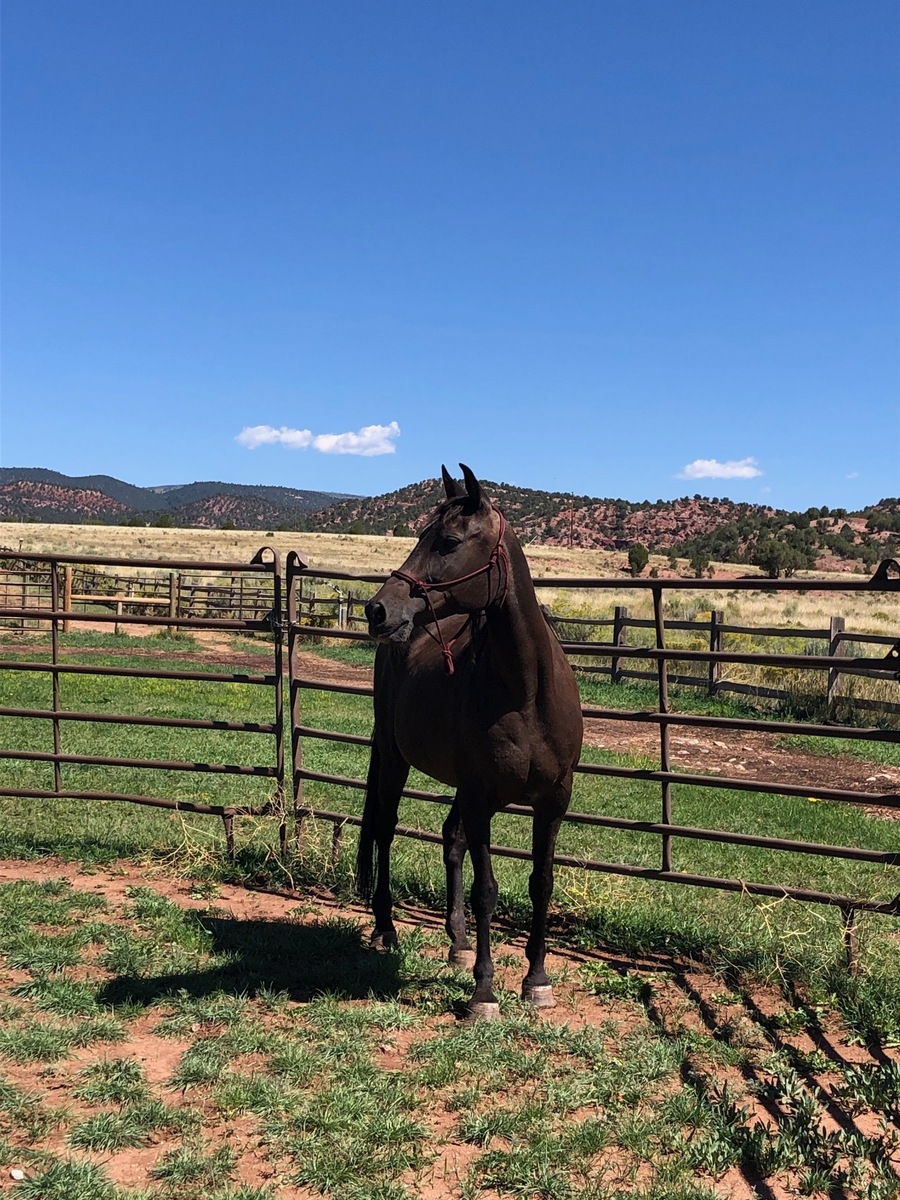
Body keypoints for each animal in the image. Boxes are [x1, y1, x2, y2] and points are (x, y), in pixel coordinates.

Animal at [357, 464, 584, 1019]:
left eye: (449, 542)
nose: (377, 610)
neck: (525, 691)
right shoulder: (482, 799)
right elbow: (487, 890)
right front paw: (484, 992)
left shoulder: (552, 803)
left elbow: (540, 884)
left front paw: (536, 980)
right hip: (394, 760)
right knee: (385, 830)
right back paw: (385, 929)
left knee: (450, 840)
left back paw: (457, 944)